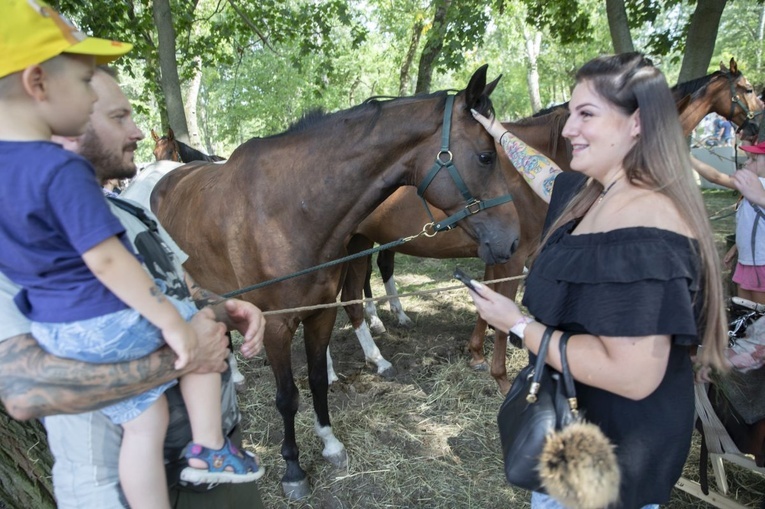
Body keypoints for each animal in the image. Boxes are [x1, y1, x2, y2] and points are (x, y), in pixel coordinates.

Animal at [148, 65, 520, 498]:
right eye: (486, 156)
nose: (513, 240)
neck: (288, 209)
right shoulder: (276, 325)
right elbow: (287, 396)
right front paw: (293, 469)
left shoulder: (320, 314)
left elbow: (317, 381)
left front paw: (330, 443)